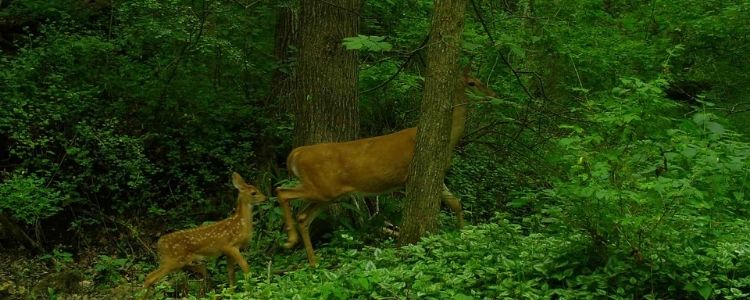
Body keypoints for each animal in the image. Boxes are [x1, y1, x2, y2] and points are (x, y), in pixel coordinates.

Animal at [278, 69, 500, 264]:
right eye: (472, 82)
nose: (493, 95)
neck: (450, 141)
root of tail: (296, 154)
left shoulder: (438, 176)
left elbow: (456, 203)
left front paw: (464, 235)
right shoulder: (409, 177)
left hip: (329, 194)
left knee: (303, 216)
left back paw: (313, 262)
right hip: (323, 188)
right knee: (282, 192)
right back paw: (291, 241)